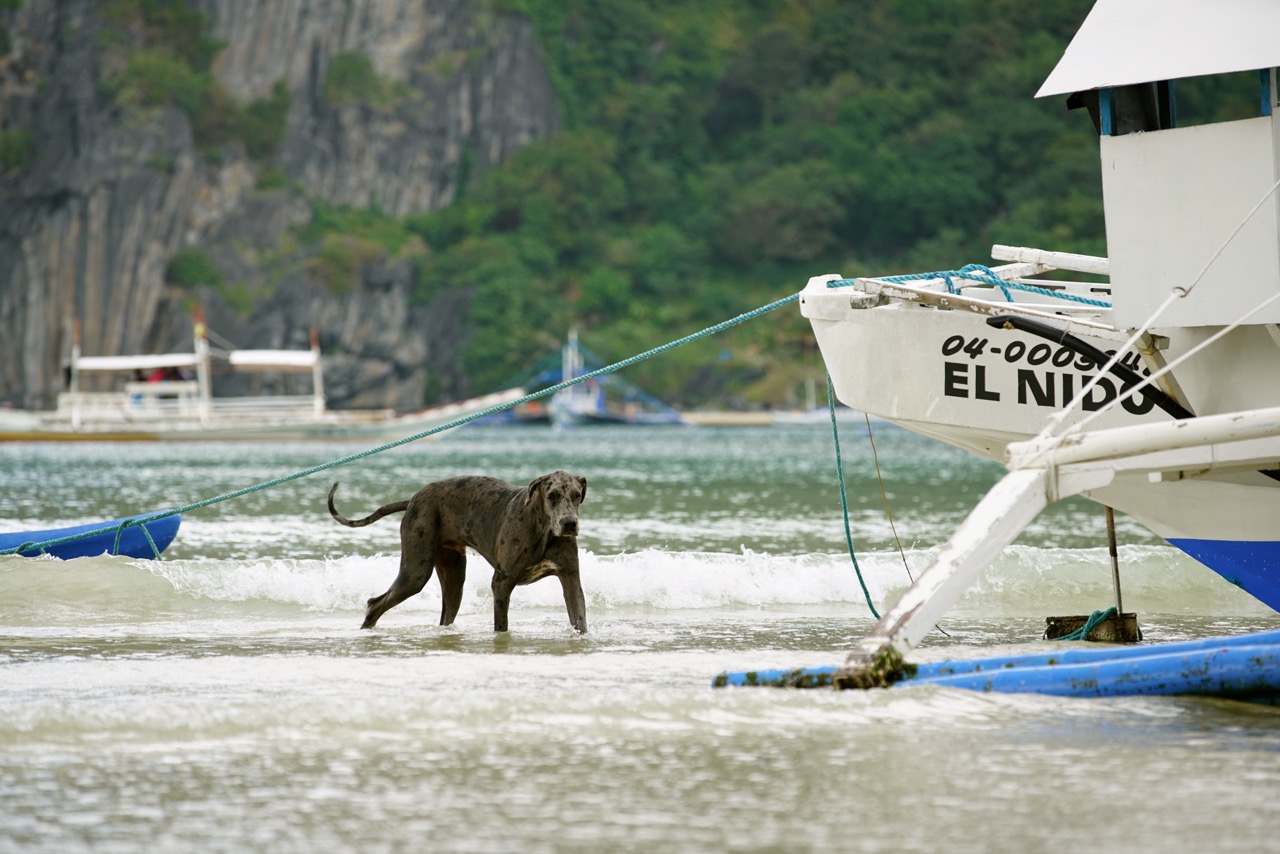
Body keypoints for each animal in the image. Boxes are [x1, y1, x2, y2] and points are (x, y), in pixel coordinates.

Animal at [328, 471, 588, 633]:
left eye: (576, 495)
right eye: (552, 495)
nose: (569, 523)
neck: (542, 528)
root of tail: (412, 499)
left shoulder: (571, 580)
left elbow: (580, 620)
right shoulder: (501, 583)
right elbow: (501, 626)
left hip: (453, 578)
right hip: (415, 573)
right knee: (375, 604)